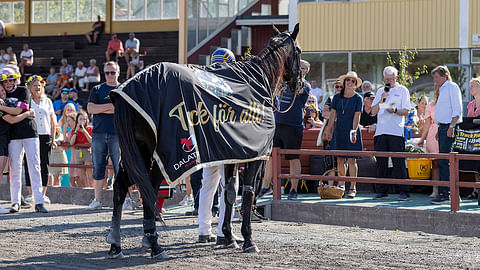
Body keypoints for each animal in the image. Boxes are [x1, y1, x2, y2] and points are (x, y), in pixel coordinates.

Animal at [106, 23, 302, 258]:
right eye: (299, 51)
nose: (300, 83)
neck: (257, 81)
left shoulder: (231, 153)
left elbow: (229, 193)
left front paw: (228, 236)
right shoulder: (256, 156)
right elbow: (247, 194)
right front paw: (248, 239)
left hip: (137, 152)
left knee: (121, 187)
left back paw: (117, 244)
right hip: (160, 156)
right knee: (149, 189)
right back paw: (154, 244)